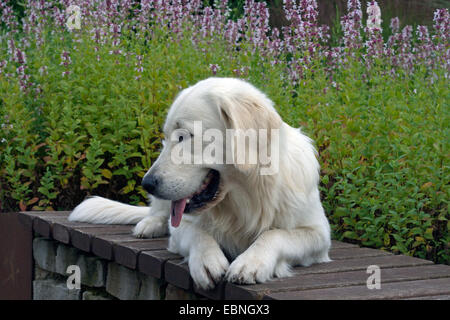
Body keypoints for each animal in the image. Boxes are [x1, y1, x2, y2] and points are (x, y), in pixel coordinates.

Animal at [69, 76, 330, 288]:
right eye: (167, 137)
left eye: (184, 137)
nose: (147, 184)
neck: (246, 200)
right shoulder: (181, 227)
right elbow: (196, 232)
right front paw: (207, 260)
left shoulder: (320, 234)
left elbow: (275, 234)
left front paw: (251, 262)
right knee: (159, 213)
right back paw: (150, 224)